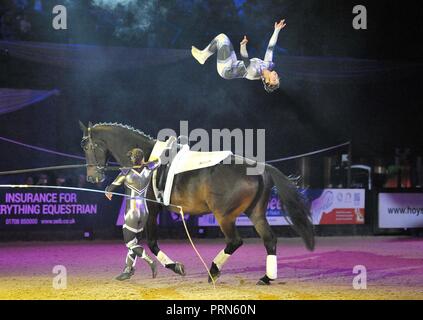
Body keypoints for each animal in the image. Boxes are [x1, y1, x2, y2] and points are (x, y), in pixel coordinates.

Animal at [79, 121, 314, 284]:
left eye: (87, 146)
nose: (92, 177)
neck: (145, 159)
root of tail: (260, 167)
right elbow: (134, 241)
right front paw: (127, 272)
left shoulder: (152, 210)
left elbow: (152, 244)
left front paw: (175, 267)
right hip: (255, 213)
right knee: (269, 240)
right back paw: (266, 278)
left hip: (224, 216)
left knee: (234, 241)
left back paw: (213, 272)